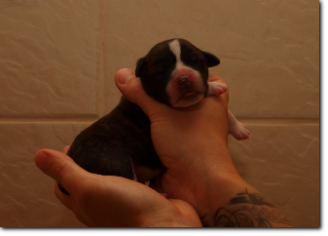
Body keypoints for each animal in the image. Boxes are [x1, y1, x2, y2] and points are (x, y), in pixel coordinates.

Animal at [57, 38, 250, 195]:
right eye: (160, 72)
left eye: (197, 62)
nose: (184, 79)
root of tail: (74, 158)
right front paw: (215, 86)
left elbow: (226, 111)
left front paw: (239, 128)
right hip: (112, 157)